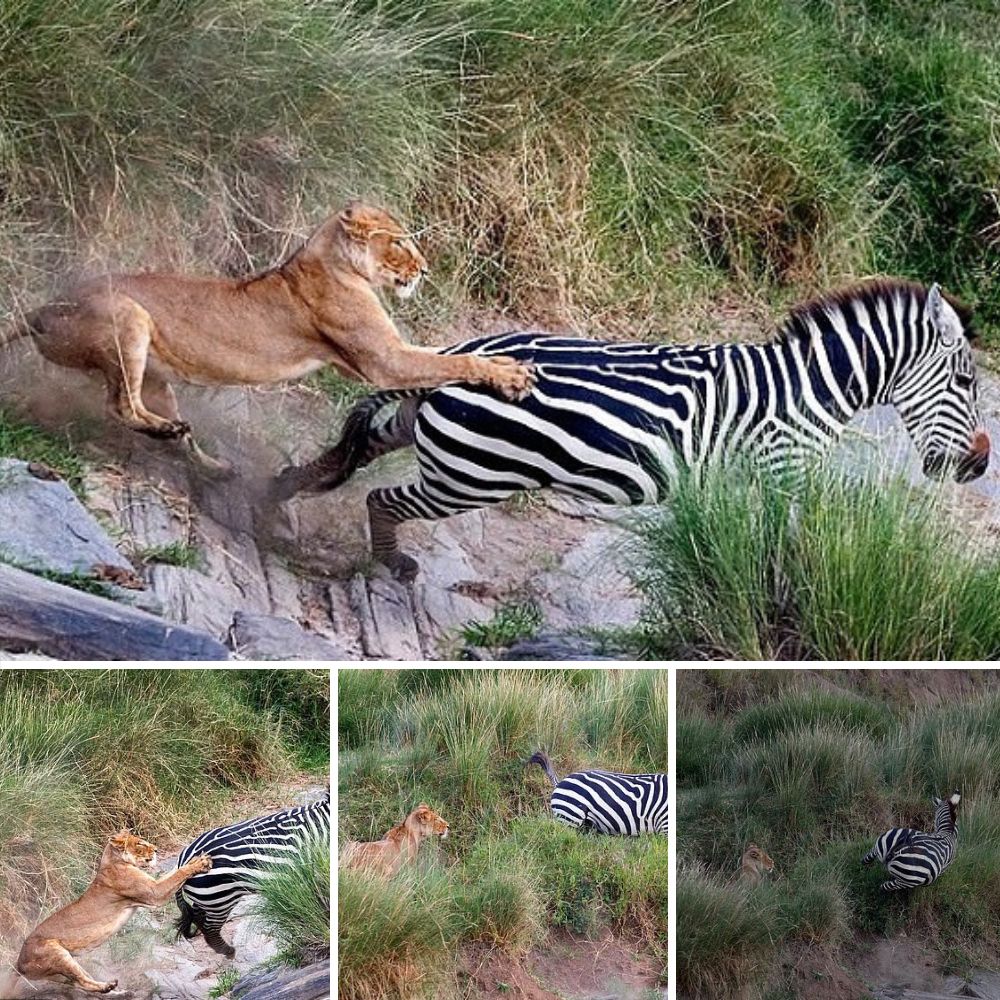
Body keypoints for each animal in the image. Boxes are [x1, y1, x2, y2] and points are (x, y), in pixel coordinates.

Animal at [172, 784, 328, 956]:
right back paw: (228, 951)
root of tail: (182, 863)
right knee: (210, 929)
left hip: (209, 901)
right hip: (220, 901)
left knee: (198, 916)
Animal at [270, 280, 988, 580]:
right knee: (381, 496)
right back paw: (389, 563)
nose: (980, 465)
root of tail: (464, 350)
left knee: (363, 444)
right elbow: (789, 543)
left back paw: (277, 495)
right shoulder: (785, 469)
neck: (805, 388)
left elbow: (750, 545)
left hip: (434, 438)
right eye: (967, 383)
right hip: (473, 476)